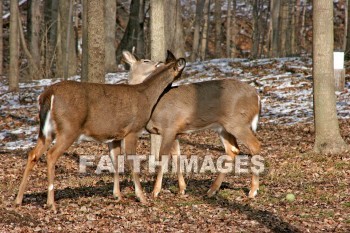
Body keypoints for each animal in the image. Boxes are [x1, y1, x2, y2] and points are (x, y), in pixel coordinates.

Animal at [13, 50, 186, 209]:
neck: (147, 96)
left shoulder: (115, 135)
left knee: (33, 154)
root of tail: (48, 94)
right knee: (51, 155)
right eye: (146, 60)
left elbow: (115, 161)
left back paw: (18, 200)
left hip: (46, 131)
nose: (159, 62)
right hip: (69, 128)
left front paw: (117, 196)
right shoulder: (133, 130)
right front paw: (142, 197)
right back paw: (51, 204)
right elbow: (131, 161)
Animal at [124, 53, 262, 200]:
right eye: (146, 60)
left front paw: (155, 191)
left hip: (238, 123)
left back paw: (253, 191)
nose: (158, 62)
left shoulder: (169, 127)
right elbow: (177, 157)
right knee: (233, 150)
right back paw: (211, 190)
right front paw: (182, 189)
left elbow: (163, 157)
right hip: (223, 127)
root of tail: (257, 95)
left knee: (254, 145)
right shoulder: (175, 132)